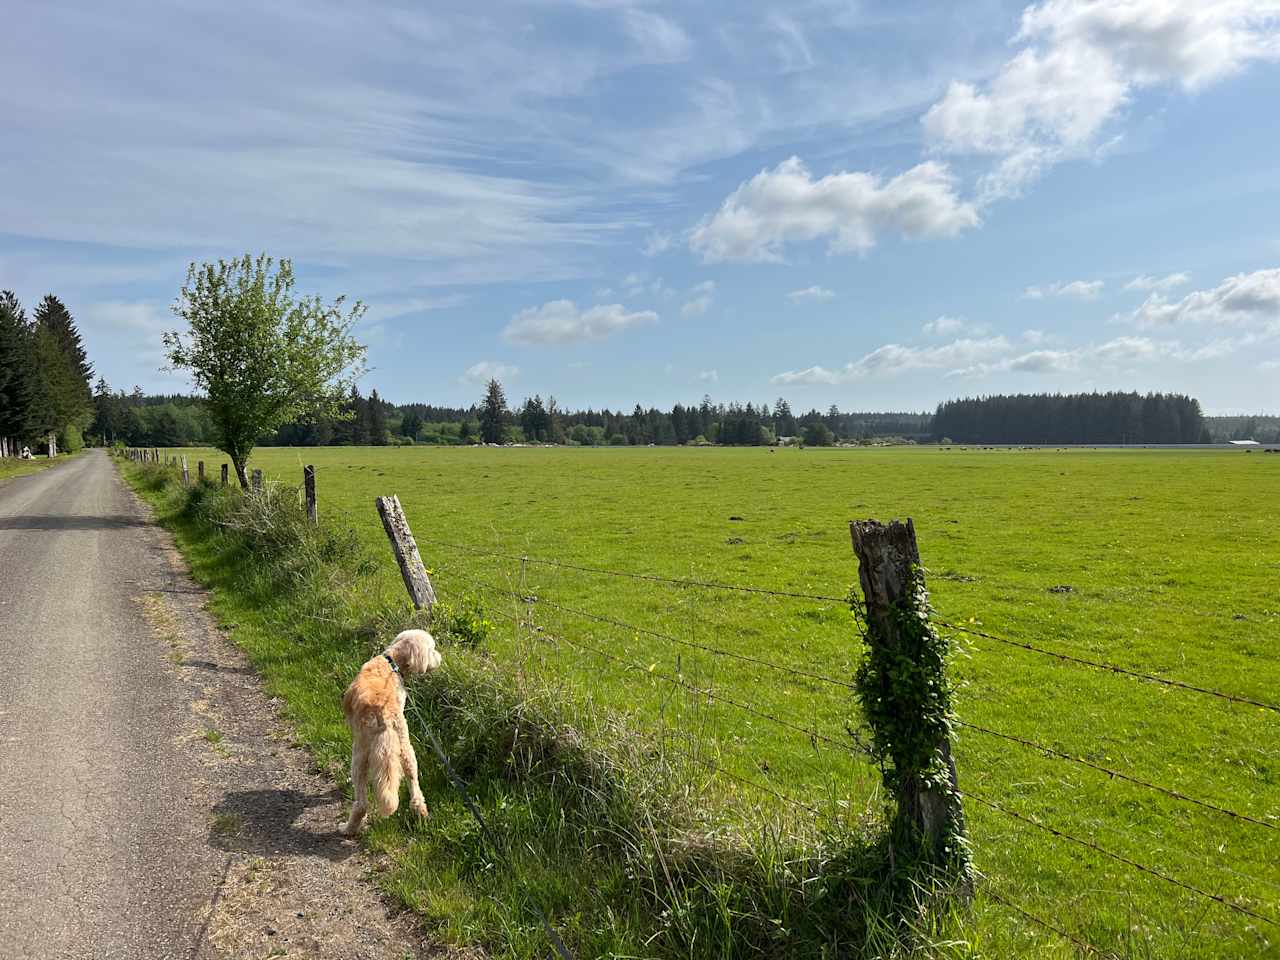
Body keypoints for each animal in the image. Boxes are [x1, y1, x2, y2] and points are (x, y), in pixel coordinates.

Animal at [343, 632, 442, 834]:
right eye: (432, 650)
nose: (441, 657)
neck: (391, 662)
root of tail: (383, 715)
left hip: (359, 754)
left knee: (361, 802)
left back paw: (348, 828)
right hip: (406, 747)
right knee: (414, 786)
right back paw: (421, 813)